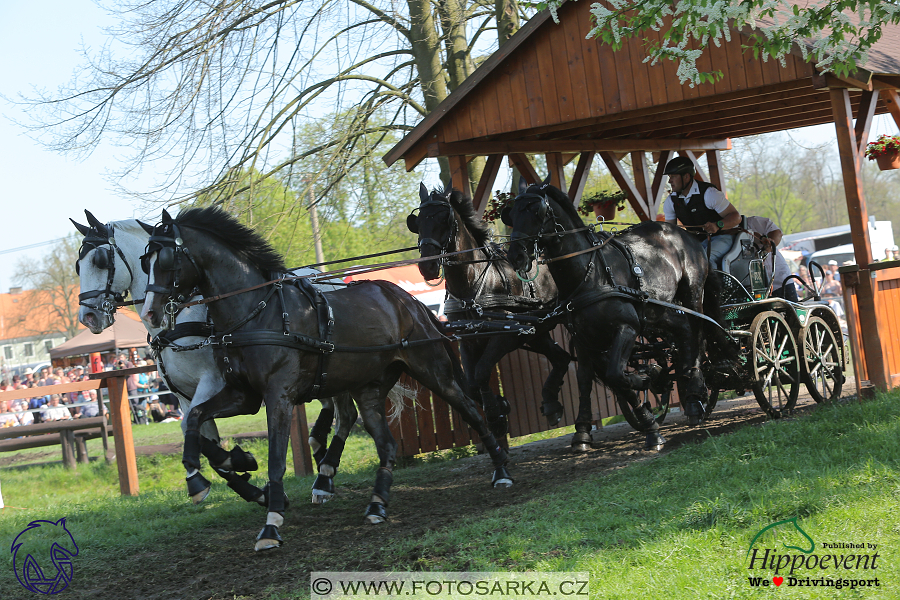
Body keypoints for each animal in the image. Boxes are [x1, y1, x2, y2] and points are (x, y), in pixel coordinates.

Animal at [137, 209, 510, 552]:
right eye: (145, 261)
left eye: (166, 259)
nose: (150, 313)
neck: (258, 312)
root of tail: (410, 302)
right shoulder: (242, 395)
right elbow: (195, 419)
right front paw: (198, 477)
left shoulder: (278, 396)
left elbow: (276, 459)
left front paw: (271, 524)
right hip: (369, 389)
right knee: (384, 442)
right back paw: (376, 504)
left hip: (433, 372)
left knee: (471, 411)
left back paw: (502, 470)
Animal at [406, 183, 568, 436]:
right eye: (419, 221)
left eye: (444, 218)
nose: (428, 266)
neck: (474, 285)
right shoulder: (467, 340)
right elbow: (472, 385)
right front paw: (500, 406)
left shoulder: (505, 336)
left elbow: (482, 372)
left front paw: (495, 415)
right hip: (536, 333)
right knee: (562, 358)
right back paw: (551, 403)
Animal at [502, 183, 728, 450]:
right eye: (510, 214)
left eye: (536, 209)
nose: (515, 256)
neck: (591, 274)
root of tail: (684, 233)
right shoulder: (583, 339)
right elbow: (586, 379)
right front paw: (582, 430)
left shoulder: (627, 328)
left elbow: (616, 375)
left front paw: (649, 413)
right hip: (658, 309)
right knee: (684, 330)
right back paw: (688, 393)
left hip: (692, 292)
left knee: (698, 333)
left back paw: (695, 391)